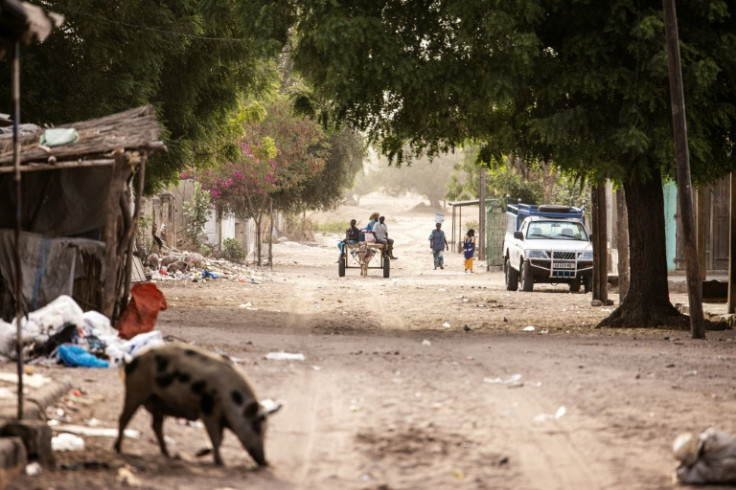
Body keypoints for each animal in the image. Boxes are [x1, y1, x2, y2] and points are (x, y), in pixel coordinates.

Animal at [115, 344, 282, 468]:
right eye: (255, 426)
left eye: (265, 429)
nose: (265, 462)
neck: (229, 397)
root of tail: (131, 363)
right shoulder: (208, 410)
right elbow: (215, 437)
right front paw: (220, 463)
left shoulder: (218, 416)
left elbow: (220, 438)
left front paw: (199, 454)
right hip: (135, 392)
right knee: (123, 418)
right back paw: (118, 449)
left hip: (158, 402)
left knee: (156, 426)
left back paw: (168, 454)